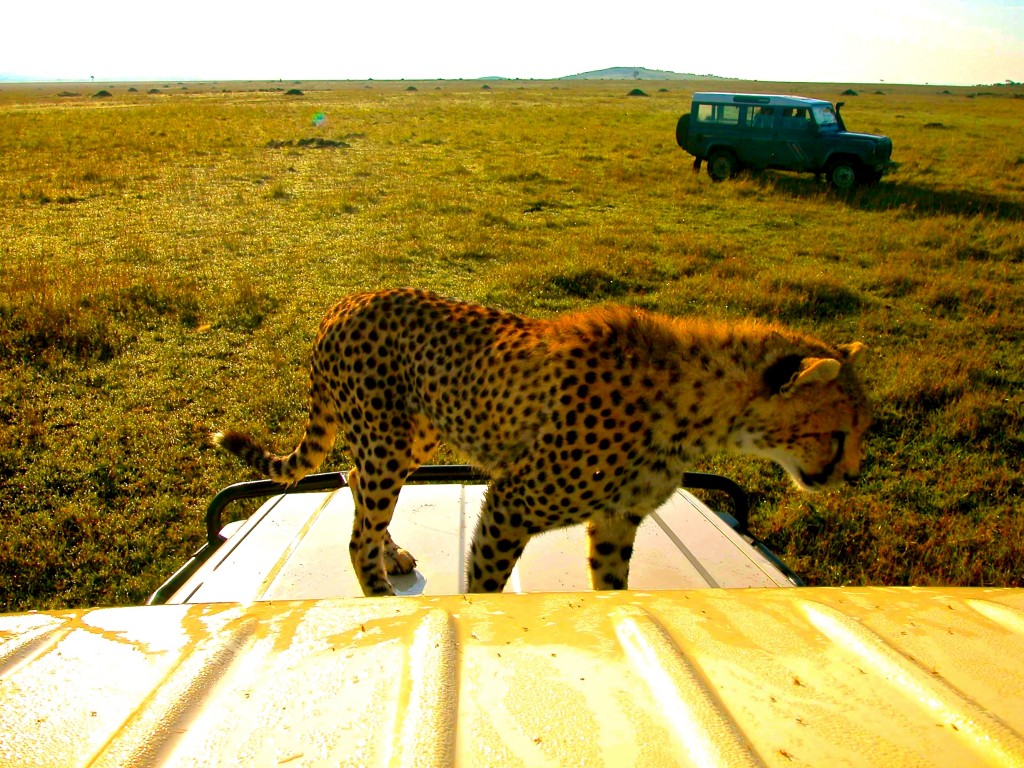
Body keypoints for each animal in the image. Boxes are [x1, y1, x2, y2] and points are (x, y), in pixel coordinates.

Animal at [214, 287, 870, 597]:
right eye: (837, 432)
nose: (852, 475)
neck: (696, 404)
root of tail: (345, 302)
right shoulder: (513, 501)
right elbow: (485, 582)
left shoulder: (616, 519)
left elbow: (612, 588)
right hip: (388, 443)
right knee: (356, 535)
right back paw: (379, 591)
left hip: (413, 436)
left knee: (351, 481)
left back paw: (391, 554)